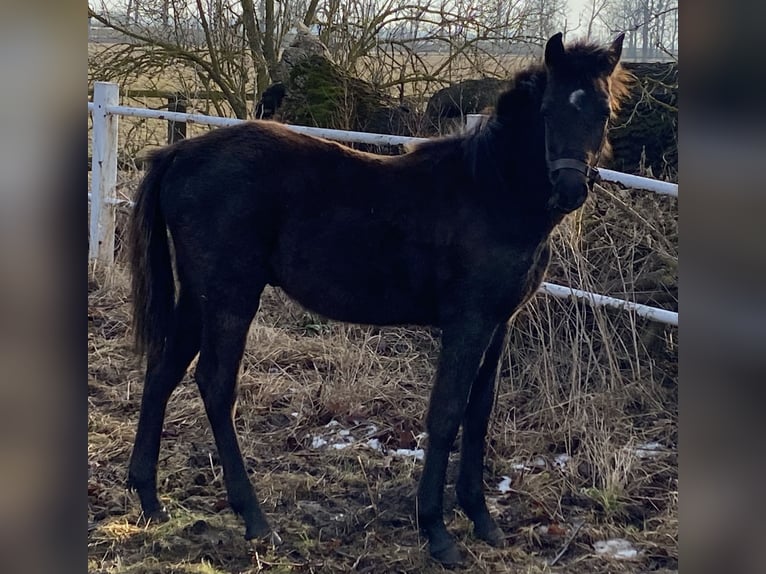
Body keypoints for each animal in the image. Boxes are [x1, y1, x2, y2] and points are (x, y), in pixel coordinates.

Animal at [126, 32, 628, 565]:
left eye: (602, 113)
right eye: (549, 110)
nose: (571, 190)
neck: (491, 191)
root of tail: (180, 153)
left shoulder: (498, 324)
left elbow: (478, 414)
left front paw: (481, 519)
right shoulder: (467, 322)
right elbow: (446, 413)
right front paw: (436, 531)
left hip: (198, 295)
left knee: (164, 370)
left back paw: (149, 499)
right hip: (230, 294)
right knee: (216, 384)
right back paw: (256, 520)